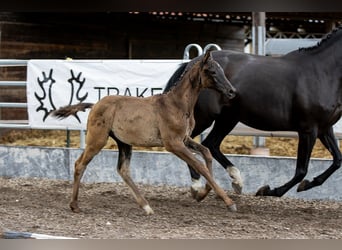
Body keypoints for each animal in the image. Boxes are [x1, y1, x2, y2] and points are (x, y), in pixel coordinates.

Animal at [51, 51, 238, 215]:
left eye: (222, 70)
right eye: (212, 71)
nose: (232, 91)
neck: (177, 105)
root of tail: (95, 104)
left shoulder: (184, 139)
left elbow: (206, 153)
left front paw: (203, 193)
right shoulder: (173, 143)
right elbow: (199, 165)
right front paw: (229, 202)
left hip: (124, 143)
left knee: (123, 170)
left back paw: (146, 206)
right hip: (97, 140)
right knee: (79, 164)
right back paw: (74, 205)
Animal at [164, 25, 342, 199]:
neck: (321, 73)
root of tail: (191, 63)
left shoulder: (324, 128)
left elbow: (337, 160)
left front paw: (307, 184)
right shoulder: (308, 129)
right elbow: (301, 171)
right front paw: (269, 190)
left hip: (227, 118)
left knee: (210, 143)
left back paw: (236, 181)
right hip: (205, 117)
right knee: (185, 142)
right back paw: (197, 186)